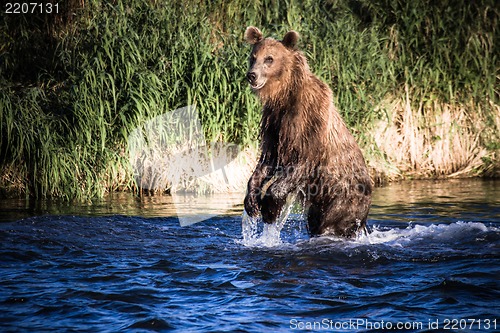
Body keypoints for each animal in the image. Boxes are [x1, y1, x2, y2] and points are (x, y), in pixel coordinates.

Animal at [242, 27, 372, 237]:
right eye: (253, 57)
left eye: (269, 58)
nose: (252, 75)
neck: (285, 95)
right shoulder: (274, 125)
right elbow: (267, 161)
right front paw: (252, 203)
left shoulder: (308, 122)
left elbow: (302, 163)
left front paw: (270, 209)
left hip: (343, 198)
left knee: (330, 225)